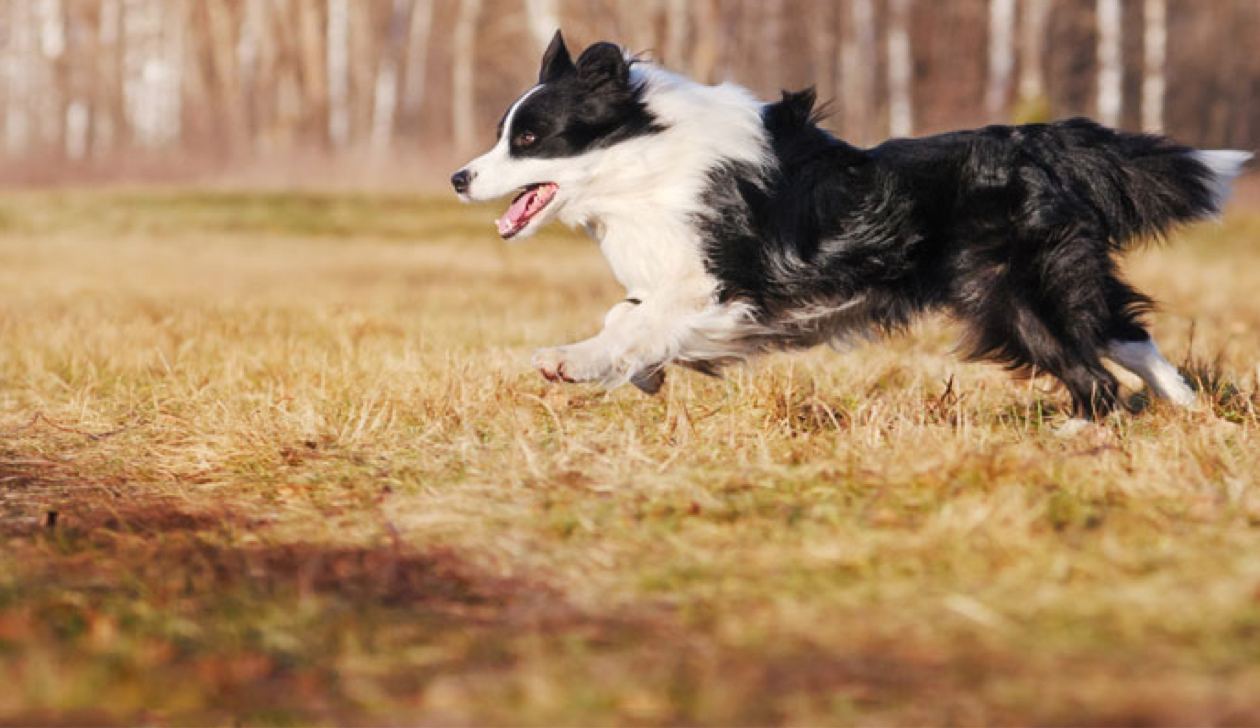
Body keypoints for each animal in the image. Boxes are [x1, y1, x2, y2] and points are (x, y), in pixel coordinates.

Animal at [448, 32, 1244, 418]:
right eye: (500, 134)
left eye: (529, 139)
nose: (459, 177)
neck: (645, 162)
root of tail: (1036, 143)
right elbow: (629, 314)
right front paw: (634, 373)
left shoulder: (726, 285)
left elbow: (642, 319)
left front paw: (573, 362)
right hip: (1055, 281)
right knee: (1124, 332)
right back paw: (1189, 412)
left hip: (1011, 293)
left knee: (1096, 372)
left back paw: (1082, 432)